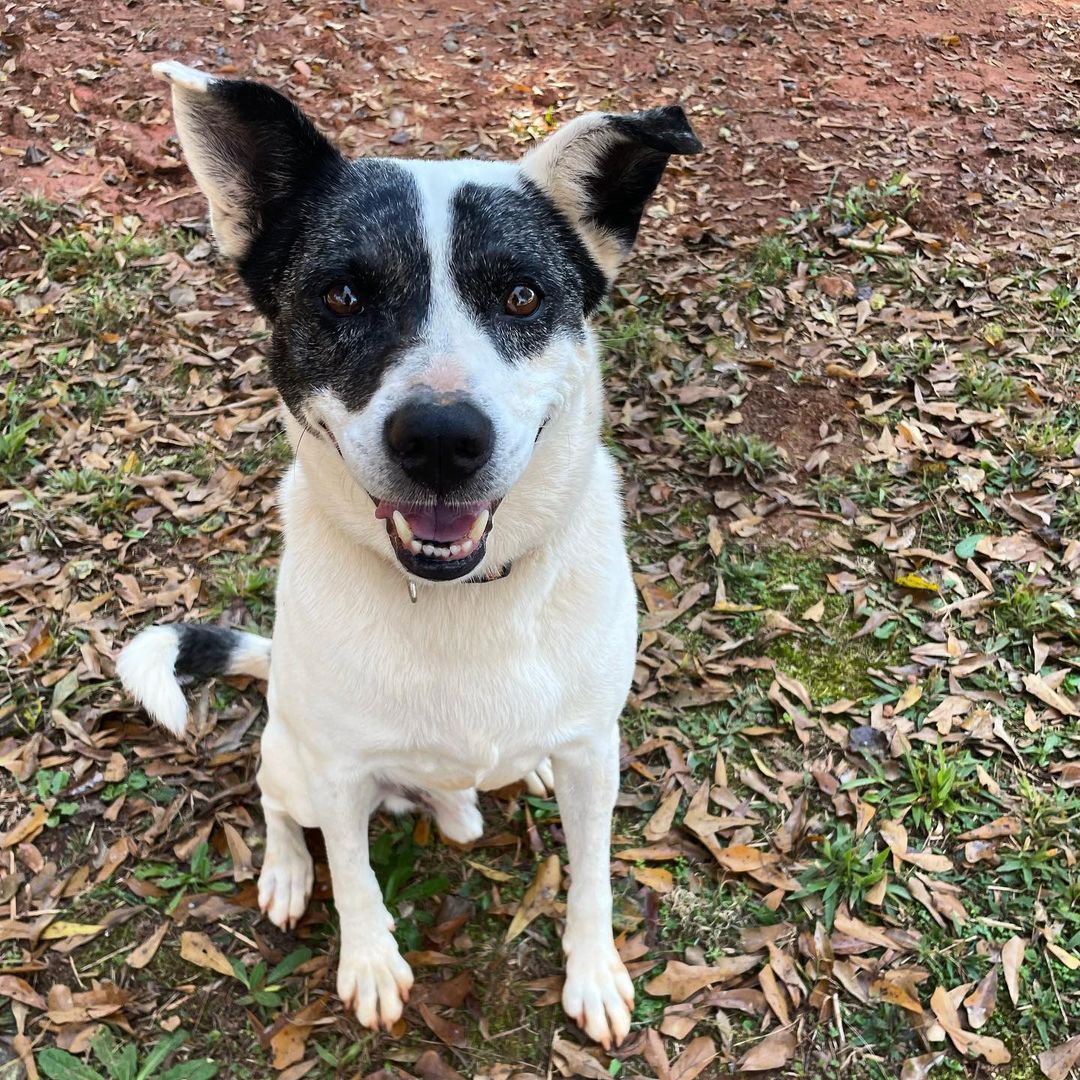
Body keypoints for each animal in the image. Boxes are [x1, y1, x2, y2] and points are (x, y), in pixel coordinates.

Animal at [118, 63, 704, 1049]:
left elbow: (592, 875)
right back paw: (285, 869)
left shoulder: (596, 750)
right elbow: (356, 877)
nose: (440, 439)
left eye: (521, 296)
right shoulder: (339, 769)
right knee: (275, 797)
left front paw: (593, 971)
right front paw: (369, 963)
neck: (462, 601)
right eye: (343, 297)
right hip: (293, 752)